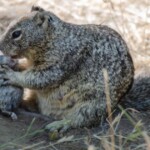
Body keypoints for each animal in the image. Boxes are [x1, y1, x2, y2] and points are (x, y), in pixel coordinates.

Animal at [0, 5, 143, 132]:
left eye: (16, 34)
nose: (0, 46)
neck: (55, 38)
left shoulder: (60, 63)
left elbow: (39, 79)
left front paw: (10, 75)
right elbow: (27, 69)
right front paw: (15, 65)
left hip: (92, 104)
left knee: (80, 120)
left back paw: (59, 124)